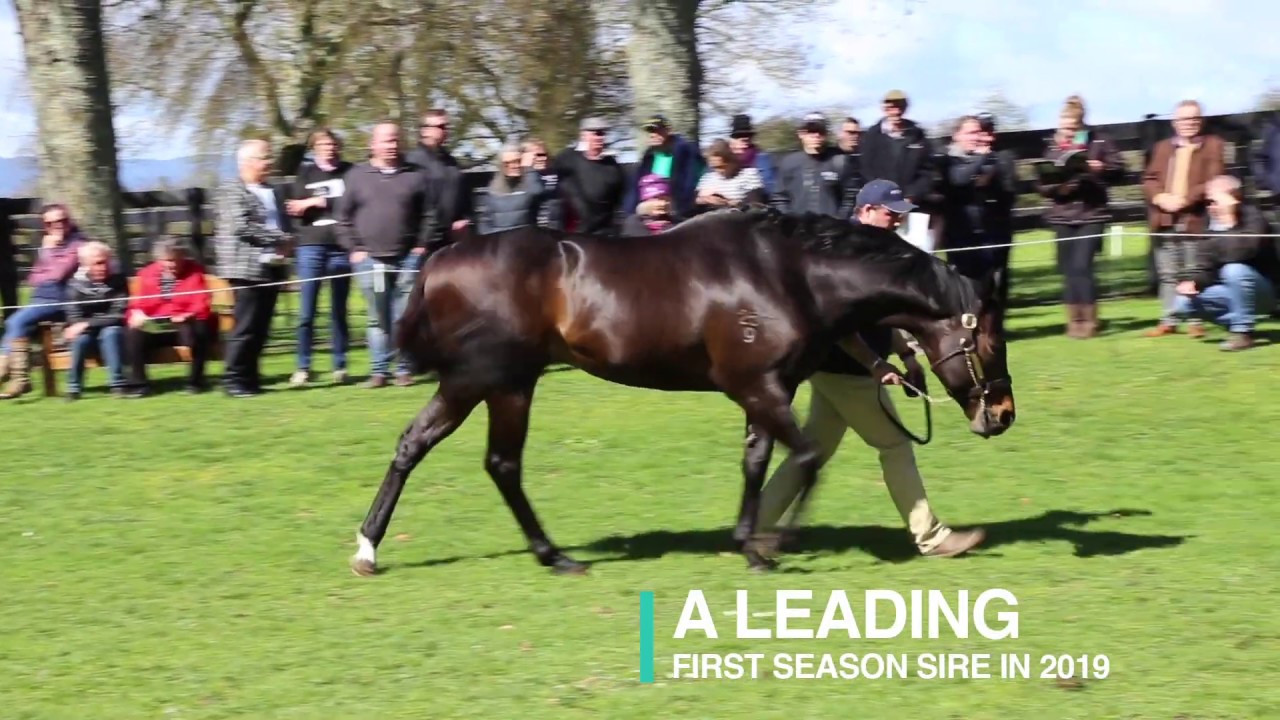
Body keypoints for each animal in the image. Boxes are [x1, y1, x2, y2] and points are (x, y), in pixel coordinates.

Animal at [349, 207, 1015, 576]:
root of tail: (437, 262)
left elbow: (761, 463)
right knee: (458, 454)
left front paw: (751, 545)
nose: (1003, 413)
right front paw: (778, 542)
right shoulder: (757, 386)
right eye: (989, 340)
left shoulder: (765, 390)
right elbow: (805, 458)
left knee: (460, 454)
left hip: (496, 384)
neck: (791, 274)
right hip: (487, 380)